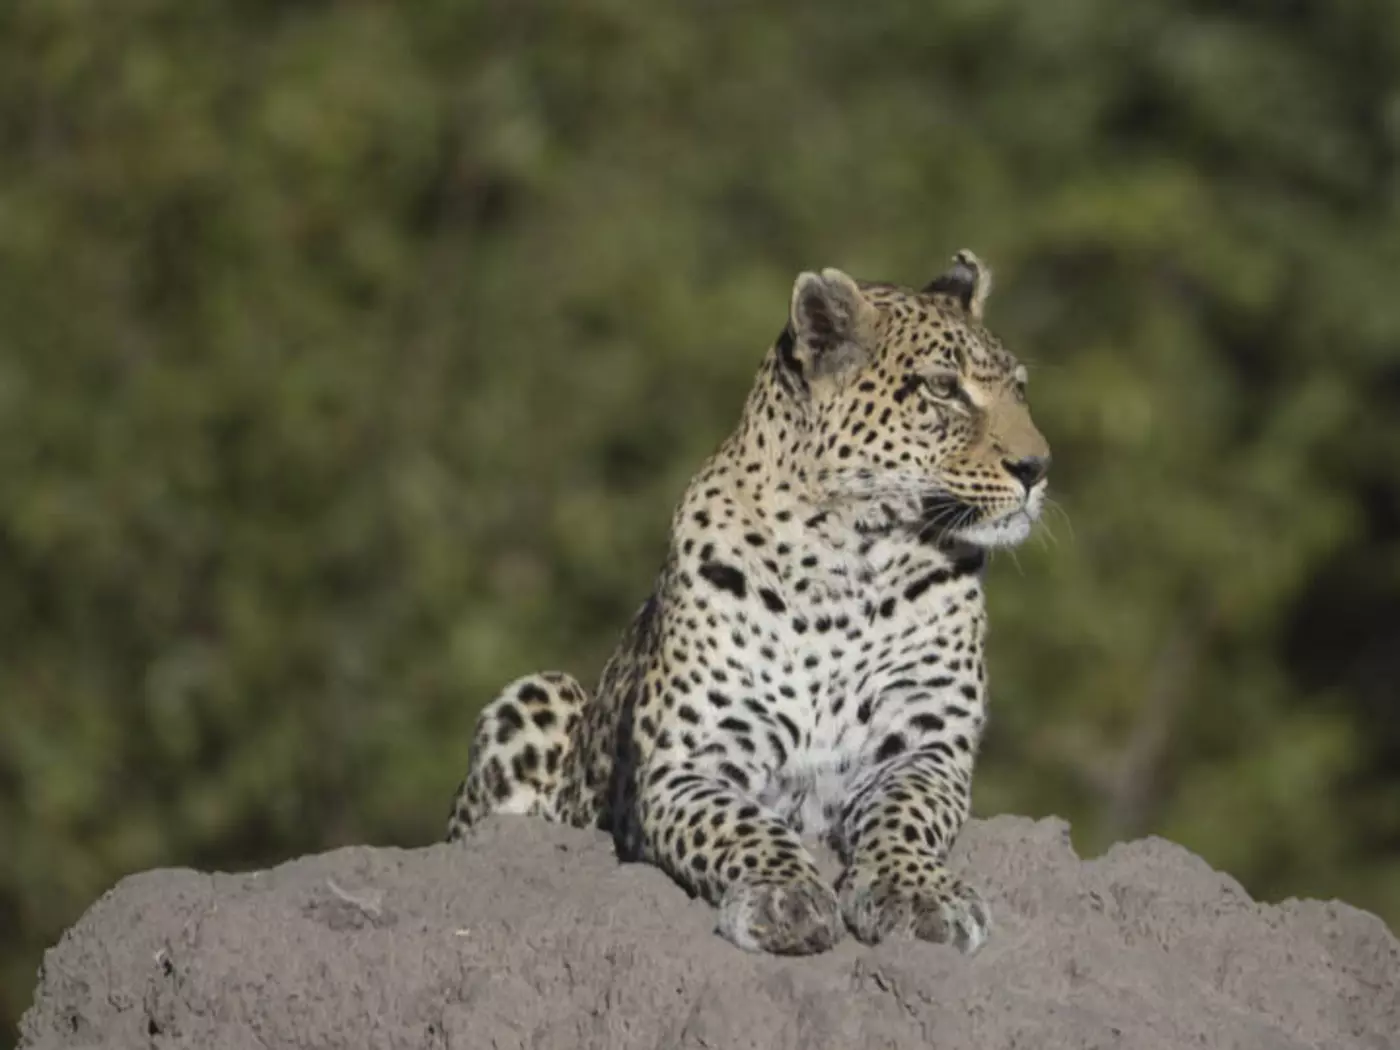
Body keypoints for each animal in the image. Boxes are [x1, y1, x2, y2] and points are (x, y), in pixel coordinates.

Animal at [446, 250, 1051, 956]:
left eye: (1020, 389)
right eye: (943, 388)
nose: (1038, 467)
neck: (848, 565)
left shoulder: (925, 746)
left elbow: (905, 816)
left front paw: (915, 893)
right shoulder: (691, 761)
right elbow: (743, 825)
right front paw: (783, 896)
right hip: (537, 694)